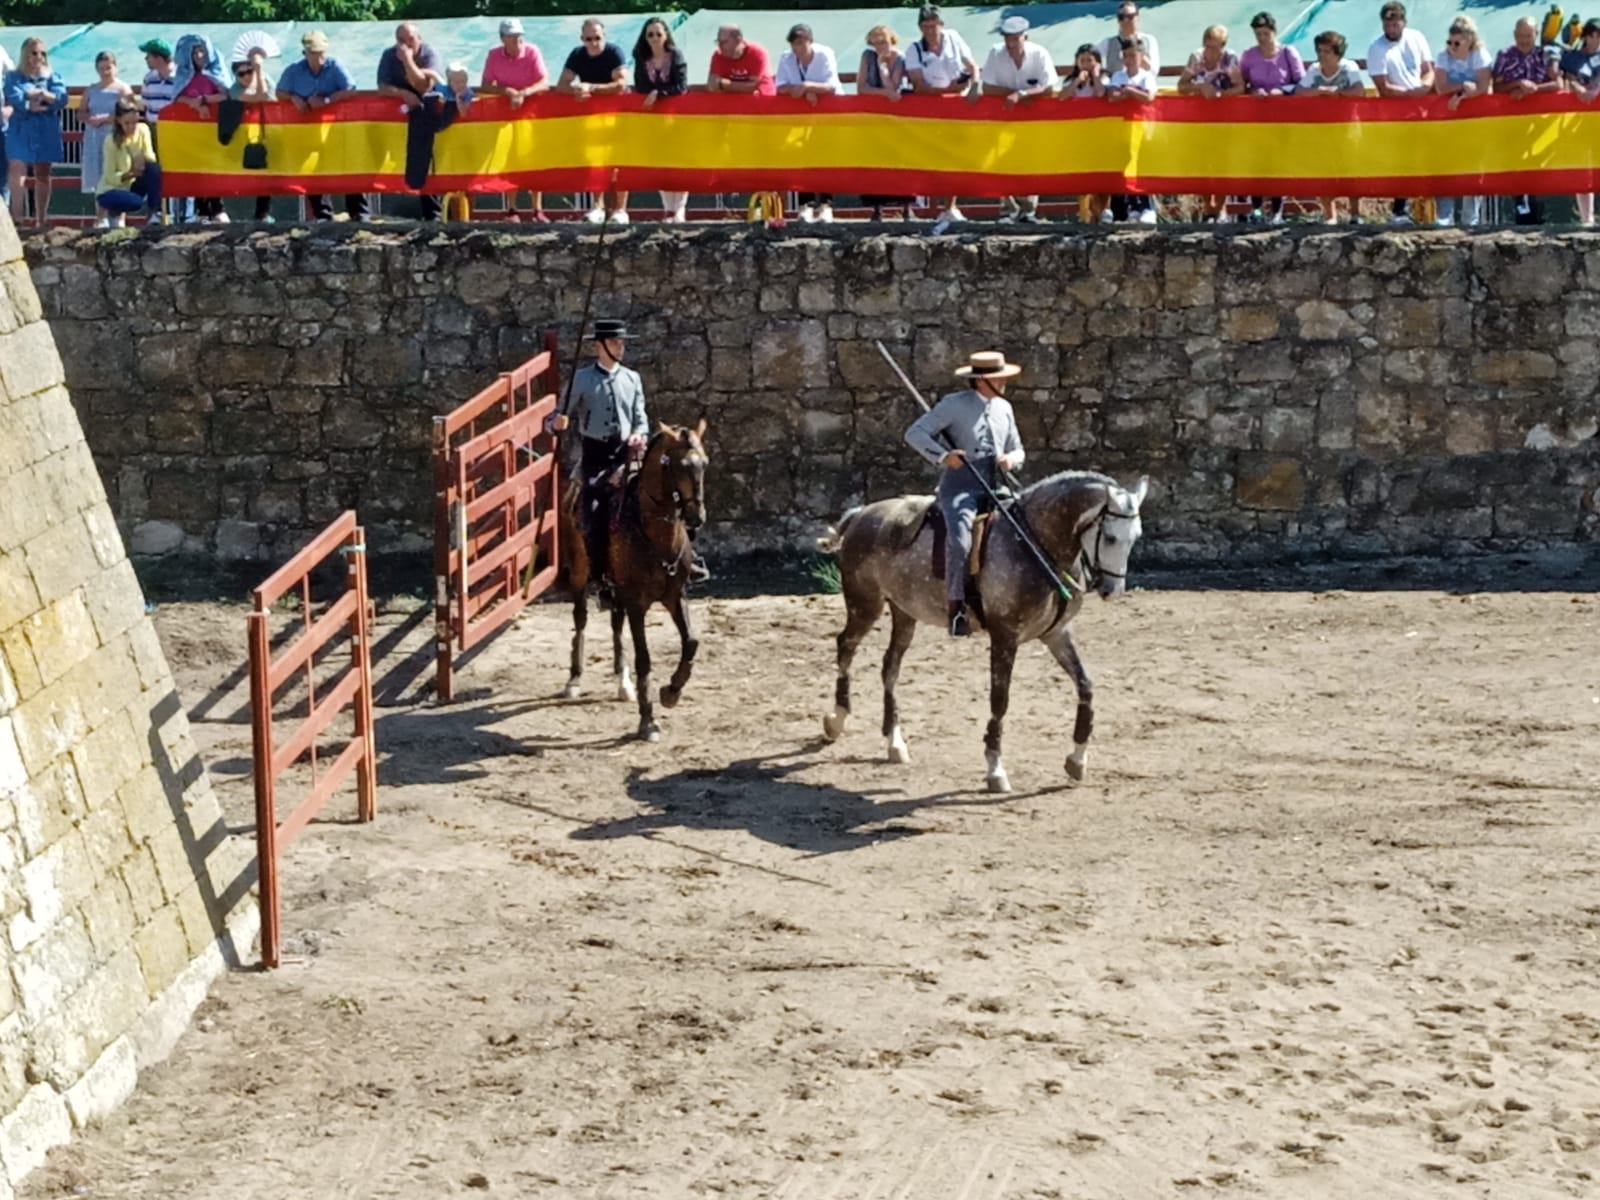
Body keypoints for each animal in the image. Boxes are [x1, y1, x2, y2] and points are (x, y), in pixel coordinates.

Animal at [563, 422, 713, 742]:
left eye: (704, 463)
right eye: (679, 465)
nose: (696, 516)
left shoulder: (675, 595)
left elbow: (691, 642)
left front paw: (671, 692)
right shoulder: (637, 604)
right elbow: (644, 659)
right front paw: (648, 721)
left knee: (615, 625)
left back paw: (624, 683)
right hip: (580, 574)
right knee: (580, 618)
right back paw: (574, 680)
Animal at [819, 473, 1145, 800]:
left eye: (1136, 537)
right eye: (1111, 538)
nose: (1111, 590)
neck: (1034, 544)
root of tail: (861, 514)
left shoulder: (1056, 634)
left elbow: (1085, 686)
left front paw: (1077, 759)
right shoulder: (1004, 637)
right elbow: (1000, 701)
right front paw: (995, 771)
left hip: (904, 613)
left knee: (890, 667)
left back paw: (894, 742)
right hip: (865, 605)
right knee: (845, 646)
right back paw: (836, 719)